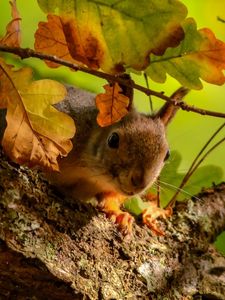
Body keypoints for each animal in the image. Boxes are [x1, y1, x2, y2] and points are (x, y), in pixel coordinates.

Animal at [50, 83, 189, 236]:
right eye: (113, 139)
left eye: (167, 154)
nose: (139, 182)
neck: (90, 174)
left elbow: (110, 198)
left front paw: (118, 213)